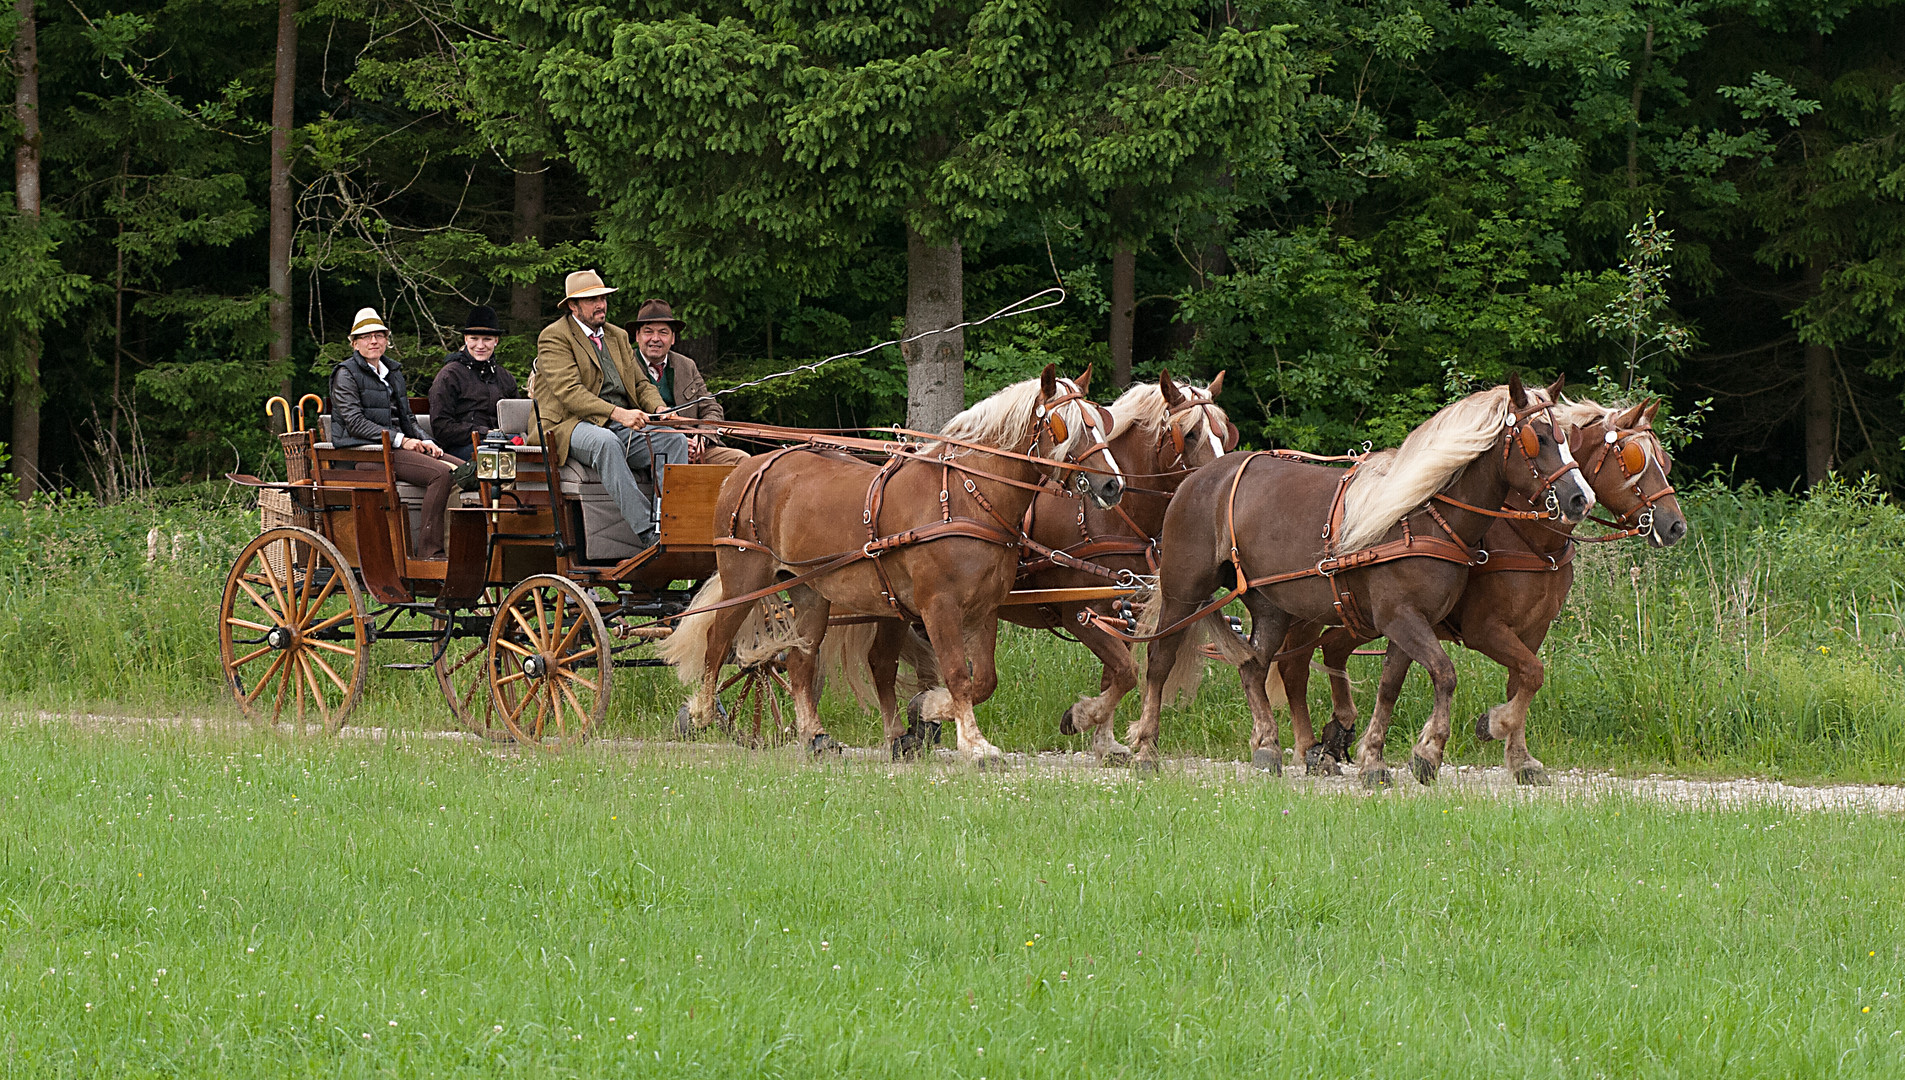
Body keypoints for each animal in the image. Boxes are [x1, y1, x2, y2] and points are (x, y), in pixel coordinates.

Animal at [670, 367, 1120, 765]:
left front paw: (929, 711)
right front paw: (973, 745)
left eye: (1103, 421)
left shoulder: (984, 610)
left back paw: (816, 736)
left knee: (801, 661)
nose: (1112, 484)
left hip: (810, 592)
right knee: (717, 642)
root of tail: (744, 469)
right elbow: (957, 673)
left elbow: (984, 679)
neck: (967, 497)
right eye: (1067, 427)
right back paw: (702, 714)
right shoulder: (939, 606)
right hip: (745, 579)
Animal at [826, 371, 1242, 761]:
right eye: (1189, 434)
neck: (1107, 516)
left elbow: (1115, 675)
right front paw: (1080, 717)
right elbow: (1125, 672)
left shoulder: (1122, 611)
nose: (1220, 479)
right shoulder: (1078, 612)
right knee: (870, 661)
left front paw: (1104, 740)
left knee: (885, 661)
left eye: (1225, 434)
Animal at [1127, 375, 1592, 780]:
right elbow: (1446, 674)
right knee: (1160, 661)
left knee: (1254, 667)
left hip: (1273, 606)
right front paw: (1432, 750)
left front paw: (1374, 758)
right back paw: (1147, 749)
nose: (1579, 498)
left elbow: (1391, 686)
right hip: (1183, 594)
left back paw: (1269, 746)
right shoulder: (1410, 619)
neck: (1421, 516)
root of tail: (1197, 479)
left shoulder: (1413, 622)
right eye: (1539, 439)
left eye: (1567, 438)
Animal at [1264, 398, 1684, 784]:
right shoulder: (1484, 628)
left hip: (1361, 616)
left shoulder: (1533, 629)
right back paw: (1308, 748)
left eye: (1665, 461)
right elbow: (1532, 674)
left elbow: (1524, 680)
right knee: (1294, 666)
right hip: (1309, 610)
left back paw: (1337, 732)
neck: (1528, 537)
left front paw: (1520, 758)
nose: (1675, 525)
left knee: (1332, 650)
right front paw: (1486, 727)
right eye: (1632, 459)